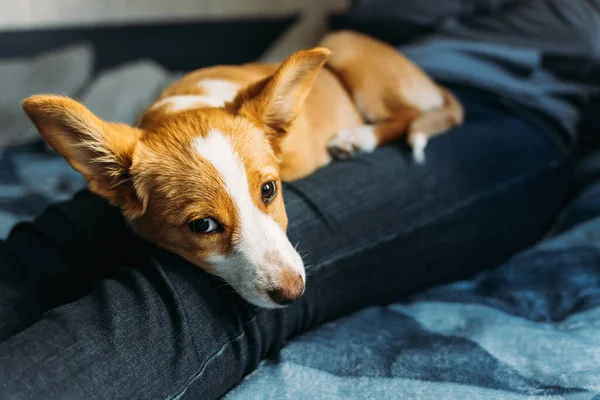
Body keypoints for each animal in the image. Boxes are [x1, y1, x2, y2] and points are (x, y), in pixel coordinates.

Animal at [21, 30, 464, 306]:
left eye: (269, 190)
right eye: (202, 226)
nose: (293, 293)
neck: (189, 103)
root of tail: (435, 84)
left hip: (348, 53)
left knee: (407, 116)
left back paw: (357, 138)